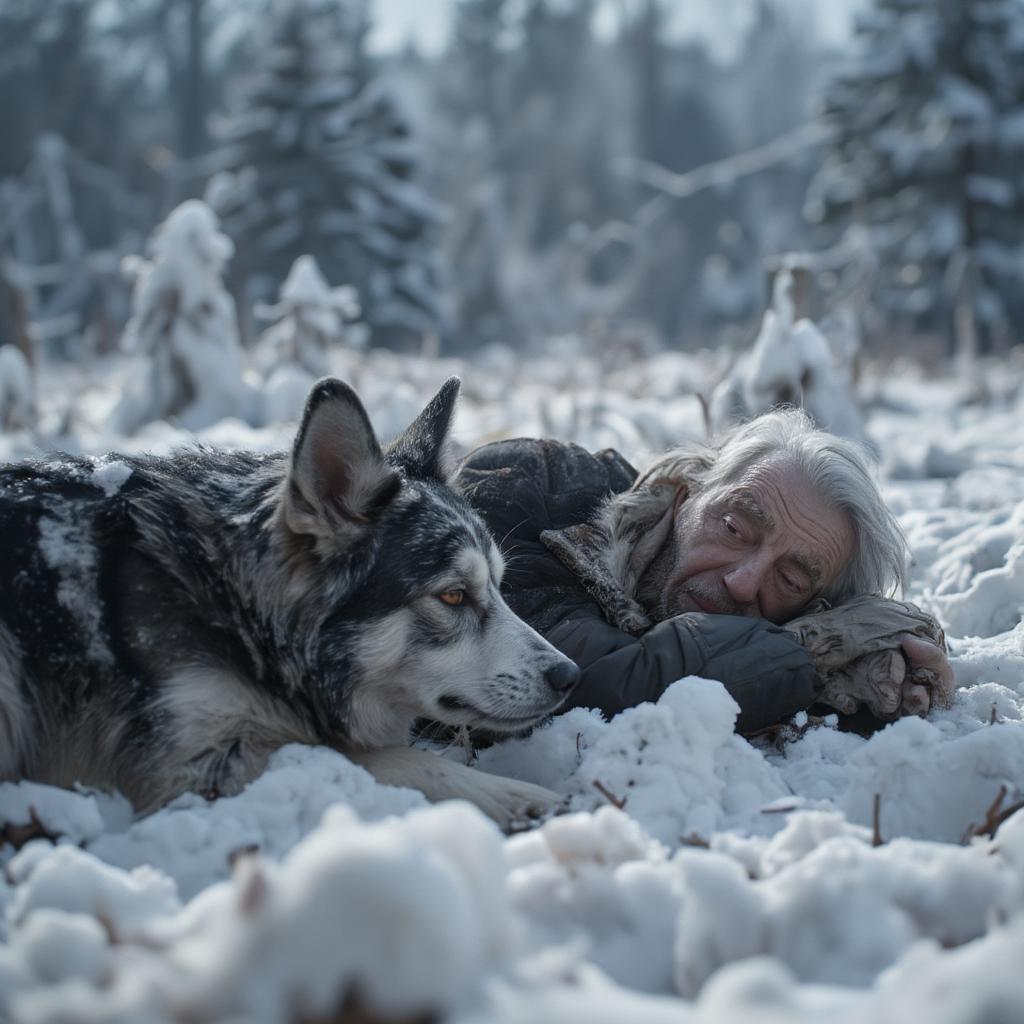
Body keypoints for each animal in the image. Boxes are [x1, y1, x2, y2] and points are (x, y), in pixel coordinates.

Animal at [0, 380, 577, 827]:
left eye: (499, 586)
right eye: (454, 594)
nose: (569, 675)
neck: (228, 606)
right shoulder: (190, 767)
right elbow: (376, 757)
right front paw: (518, 797)